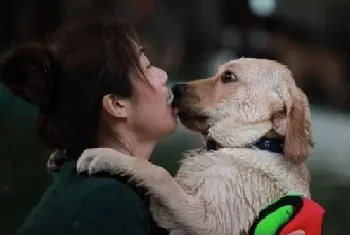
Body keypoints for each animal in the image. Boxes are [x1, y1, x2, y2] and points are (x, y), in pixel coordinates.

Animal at [75, 57, 314, 235]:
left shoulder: (208, 223)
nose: (175, 87)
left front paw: (106, 156)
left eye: (228, 76)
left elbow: (158, 173)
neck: (250, 144)